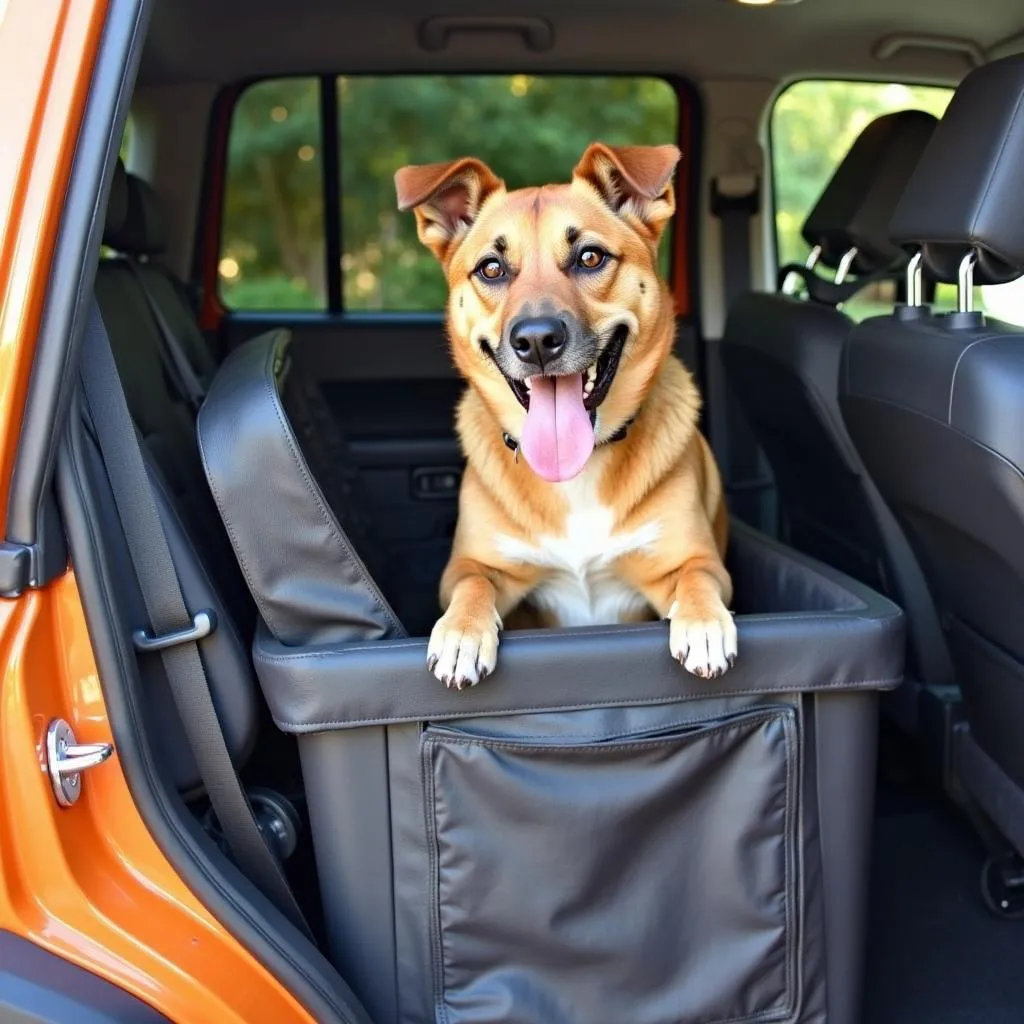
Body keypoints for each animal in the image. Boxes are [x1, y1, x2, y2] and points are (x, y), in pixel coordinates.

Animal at [393, 142, 737, 688]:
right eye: (492, 268)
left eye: (589, 257)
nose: (536, 340)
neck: (577, 471)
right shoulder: (473, 566)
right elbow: (471, 583)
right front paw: (462, 632)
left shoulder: (690, 562)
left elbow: (698, 577)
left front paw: (703, 622)